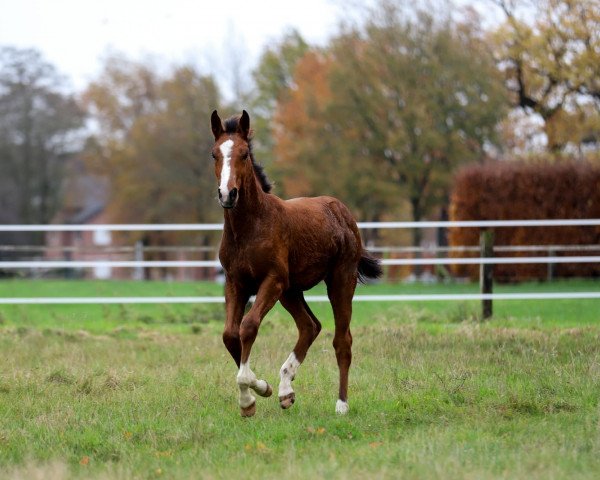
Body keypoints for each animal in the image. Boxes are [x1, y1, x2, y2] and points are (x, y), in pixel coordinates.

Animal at [211, 109, 380, 416]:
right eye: (214, 154)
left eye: (244, 154)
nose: (228, 194)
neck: (250, 227)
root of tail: (342, 211)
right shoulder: (235, 283)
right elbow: (230, 335)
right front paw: (258, 392)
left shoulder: (272, 280)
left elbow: (248, 326)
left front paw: (250, 395)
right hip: (291, 291)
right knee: (310, 326)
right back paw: (285, 390)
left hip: (339, 280)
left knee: (342, 340)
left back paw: (341, 405)